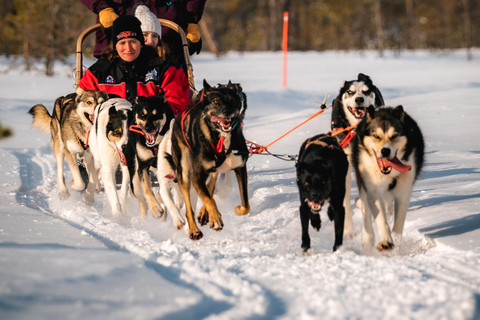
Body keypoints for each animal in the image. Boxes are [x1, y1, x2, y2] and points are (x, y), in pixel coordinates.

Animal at [169, 80, 251, 240]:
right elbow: (209, 199)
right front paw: (216, 219)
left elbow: (245, 204)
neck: (222, 139)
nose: (226, 112)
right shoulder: (197, 176)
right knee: (189, 208)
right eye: (216, 101)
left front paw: (238, 210)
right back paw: (194, 230)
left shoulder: (240, 167)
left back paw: (203, 213)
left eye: (233, 101)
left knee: (210, 185)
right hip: (184, 172)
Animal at [350, 106, 426, 251]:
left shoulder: (403, 193)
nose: (385, 151)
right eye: (376, 136)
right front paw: (386, 240)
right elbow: (381, 219)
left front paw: (397, 241)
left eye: (394, 135)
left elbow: (399, 223)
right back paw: (367, 239)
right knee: (366, 210)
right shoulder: (373, 191)